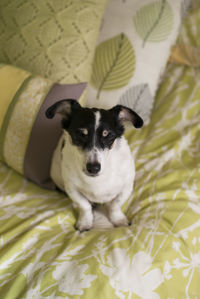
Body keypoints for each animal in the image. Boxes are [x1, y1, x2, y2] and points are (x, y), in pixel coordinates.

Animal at [45, 100, 143, 232]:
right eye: (81, 134)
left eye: (108, 136)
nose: (93, 168)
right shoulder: (72, 189)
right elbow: (84, 206)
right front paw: (85, 222)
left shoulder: (126, 187)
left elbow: (115, 205)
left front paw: (119, 220)